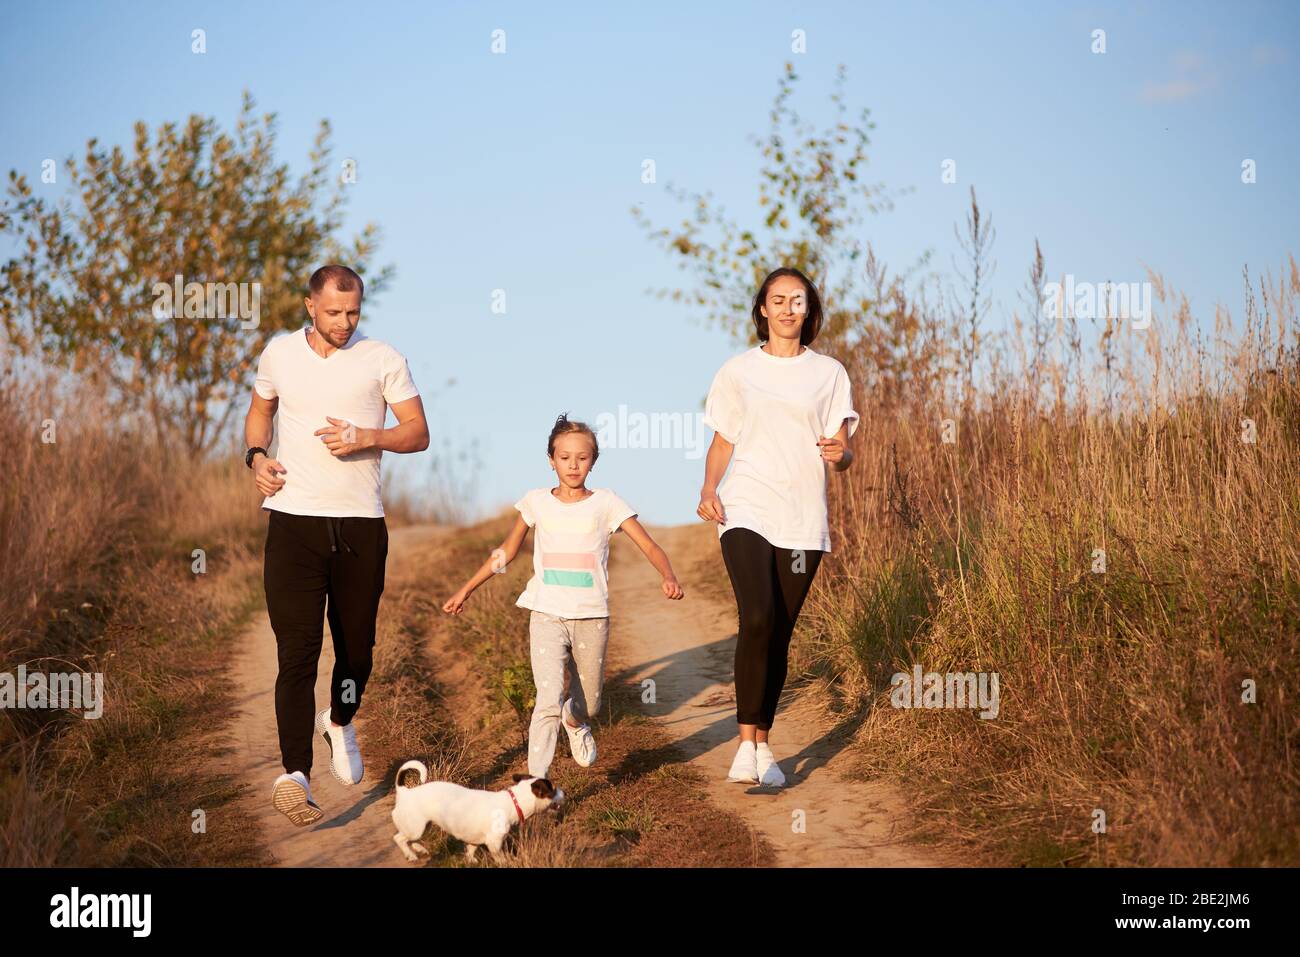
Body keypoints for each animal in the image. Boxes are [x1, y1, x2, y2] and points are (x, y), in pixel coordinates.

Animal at [390, 759, 564, 863]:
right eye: (553, 789)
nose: (565, 793)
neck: (513, 802)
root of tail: (405, 791)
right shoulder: (494, 843)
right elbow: (501, 857)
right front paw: (506, 862)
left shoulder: (474, 840)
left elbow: (470, 850)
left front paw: (471, 860)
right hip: (415, 828)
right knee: (399, 838)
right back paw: (411, 854)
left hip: (424, 826)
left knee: (411, 840)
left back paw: (420, 849)